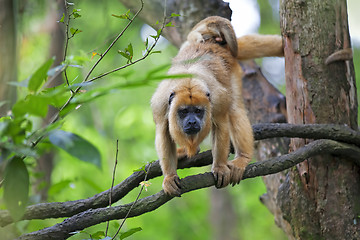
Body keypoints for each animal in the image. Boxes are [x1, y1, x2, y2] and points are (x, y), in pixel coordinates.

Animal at [150, 15, 282, 197]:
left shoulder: (218, 98)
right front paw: (169, 177)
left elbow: (221, 124)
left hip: (232, 70)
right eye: (184, 112)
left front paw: (219, 167)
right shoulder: (160, 104)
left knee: (235, 109)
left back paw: (242, 158)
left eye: (198, 111)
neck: (188, 82)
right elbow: (163, 132)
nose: (192, 122)